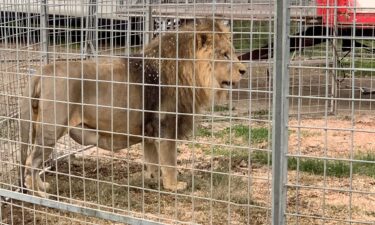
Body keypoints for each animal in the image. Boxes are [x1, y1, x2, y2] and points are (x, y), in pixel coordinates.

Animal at [18, 18, 247, 197]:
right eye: (225, 55)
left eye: (233, 53)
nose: (244, 70)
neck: (188, 73)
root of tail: (42, 71)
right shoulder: (166, 126)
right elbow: (169, 161)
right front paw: (174, 186)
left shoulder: (150, 131)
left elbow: (153, 159)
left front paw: (153, 179)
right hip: (51, 129)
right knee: (32, 161)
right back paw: (39, 194)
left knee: (34, 162)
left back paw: (42, 187)